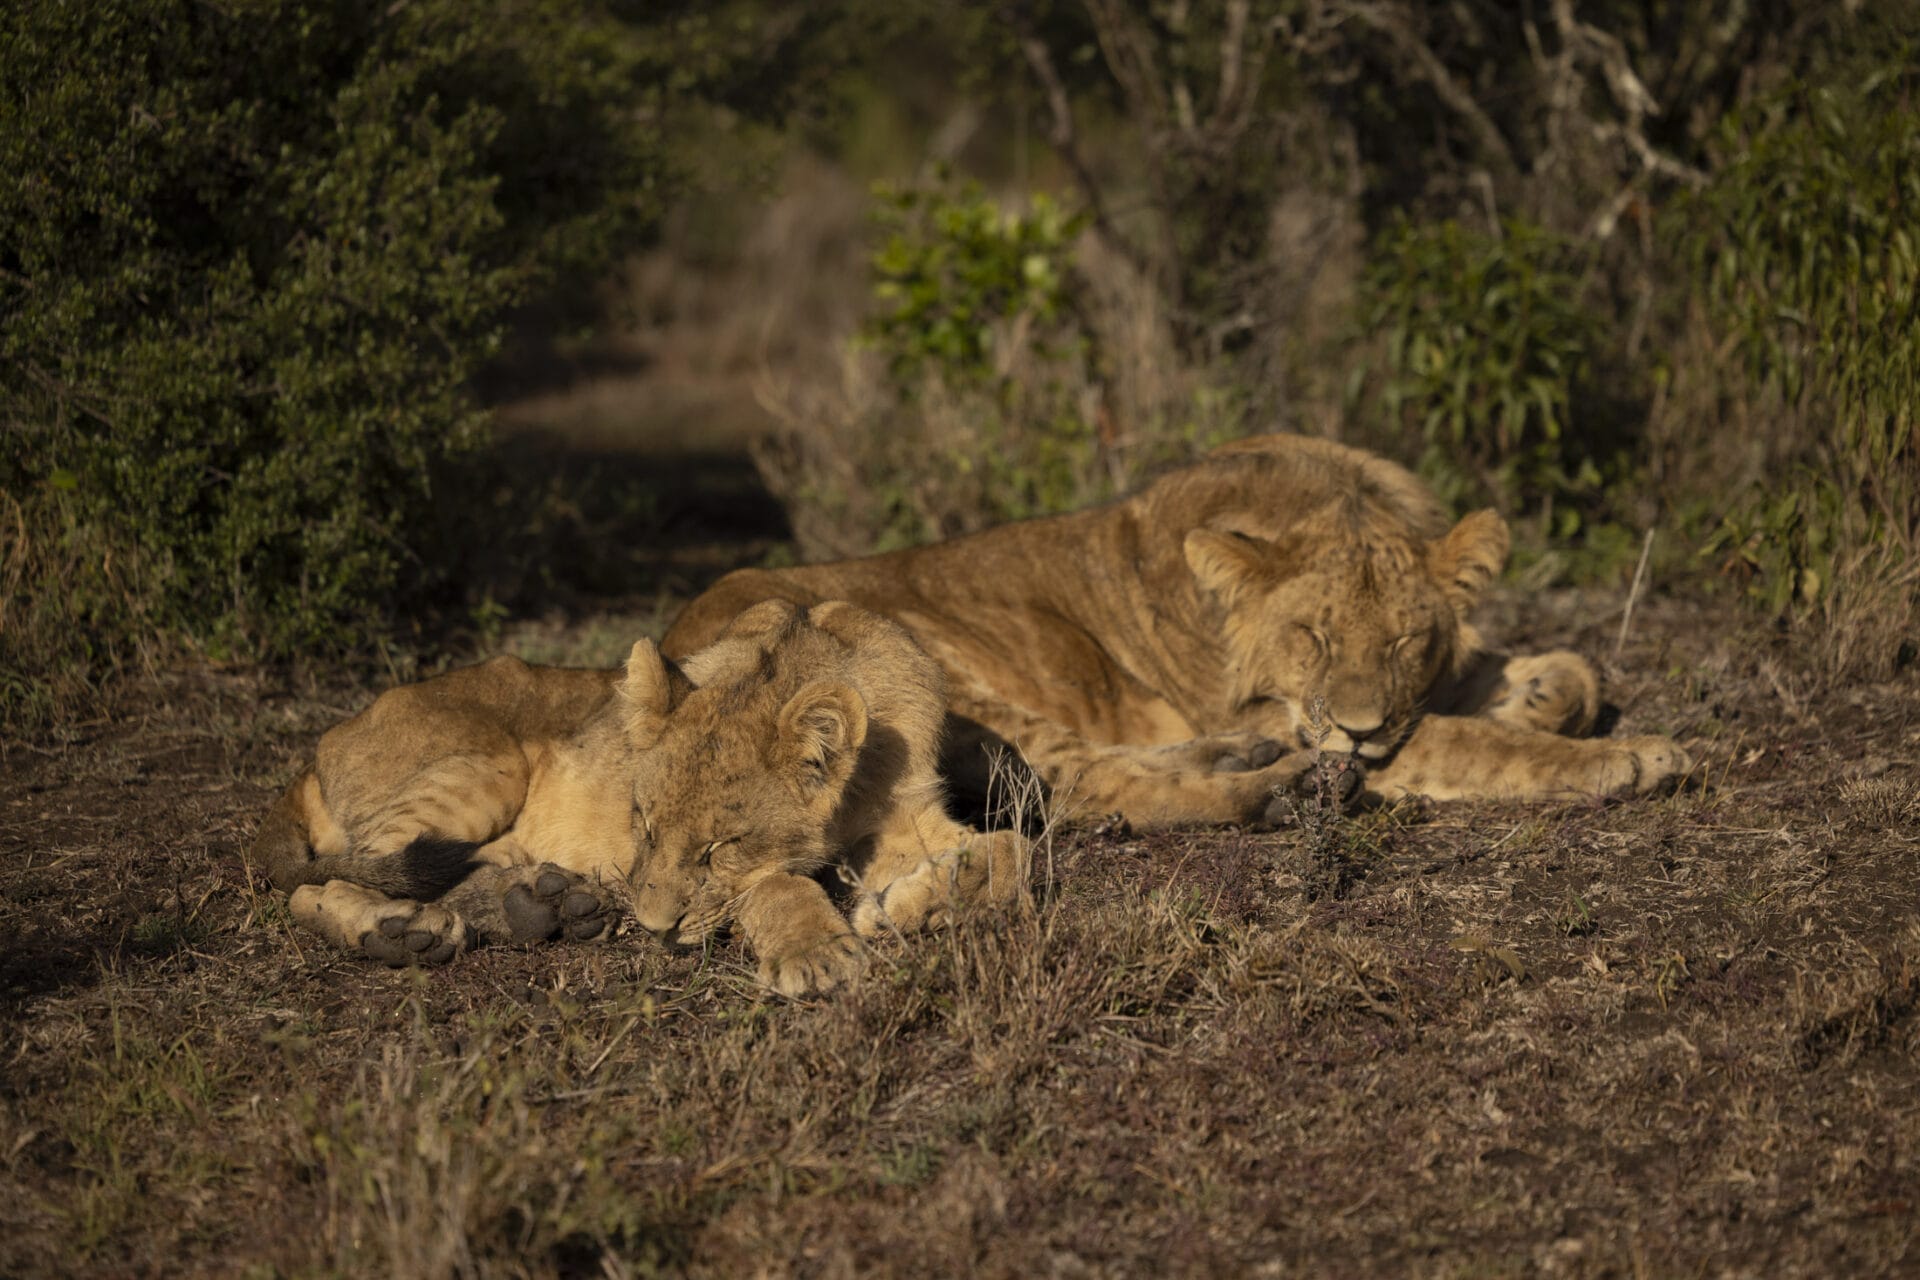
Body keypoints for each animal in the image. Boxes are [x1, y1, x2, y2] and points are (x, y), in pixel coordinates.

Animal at [252, 600, 1026, 995]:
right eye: (643, 827)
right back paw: (397, 932)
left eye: (719, 847)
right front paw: (817, 953)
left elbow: (1015, 852)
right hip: (486, 765)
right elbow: (780, 886)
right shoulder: (757, 873)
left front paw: (913, 905)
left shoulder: (906, 811)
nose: (652, 929)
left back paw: (543, 903)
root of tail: (322, 743)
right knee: (321, 880)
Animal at [663, 434, 1690, 827]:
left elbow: (1565, 670)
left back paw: (1248, 762)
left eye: (1405, 642)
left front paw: (1545, 696)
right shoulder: (1296, 708)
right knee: (1085, 787)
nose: (1360, 733)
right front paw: (1633, 755)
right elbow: (1472, 744)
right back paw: (1279, 790)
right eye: (1312, 637)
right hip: (928, 660)